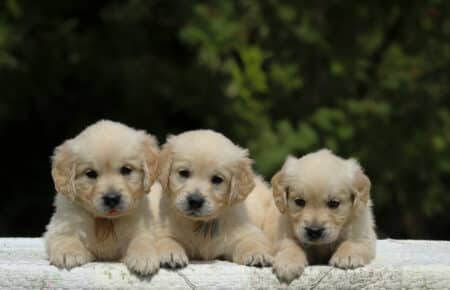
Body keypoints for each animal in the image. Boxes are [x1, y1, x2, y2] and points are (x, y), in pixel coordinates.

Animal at [44, 119, 160, 274]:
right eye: (90, 173)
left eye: (126, 170)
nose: (112, 198)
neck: (106, 221)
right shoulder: (61, 225)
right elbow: (64, 238)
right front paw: (69, 253)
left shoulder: (142, 225)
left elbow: (142, 239)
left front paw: (144, 258)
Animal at [149, 130, 272, 268]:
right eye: (184, 173)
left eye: (217, 179)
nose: (195, 201)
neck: (199, 223)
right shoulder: (162, 229)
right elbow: (166, 240)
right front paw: (171, 254)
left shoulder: (247, 231)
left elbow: (251, 241)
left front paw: (257, 254)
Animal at [268, 150, 378, 284]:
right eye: (299, 201)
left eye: (334, 203)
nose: (314, 231)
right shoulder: (284, 232)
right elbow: (290, 245)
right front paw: (288, 262)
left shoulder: (362, 231)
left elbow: (353, 242)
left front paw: (347, 256)